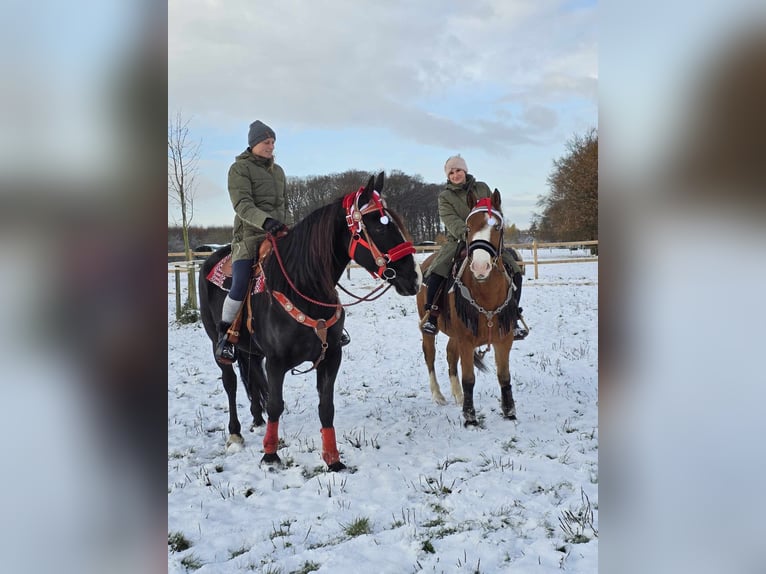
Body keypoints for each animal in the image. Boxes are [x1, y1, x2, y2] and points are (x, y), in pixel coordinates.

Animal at [198, 173, 424, 470]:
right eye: (380, 226)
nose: (415, 277)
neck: (303, 286)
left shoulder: (331, 357)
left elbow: (326, 407)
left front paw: (333, 459)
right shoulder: (276, 362)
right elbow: (276, 404)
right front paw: (270, 455)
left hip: (252, 351)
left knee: (251, 375)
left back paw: (257, 419)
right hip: (218, 344)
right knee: (230, 383)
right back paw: (235, 434)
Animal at [420, 191, 520, 426]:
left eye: (497, 227)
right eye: (468, 227)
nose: (481, 266)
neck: (486, 292)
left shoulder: (504, 339)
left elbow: (504, 376)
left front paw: (509, 412)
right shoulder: (466, 340)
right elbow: (469, 379)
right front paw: (470, 417)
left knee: (450, 355)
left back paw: (457, 394)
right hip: (429, 328)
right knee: (430, 356)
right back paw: (438, 395)